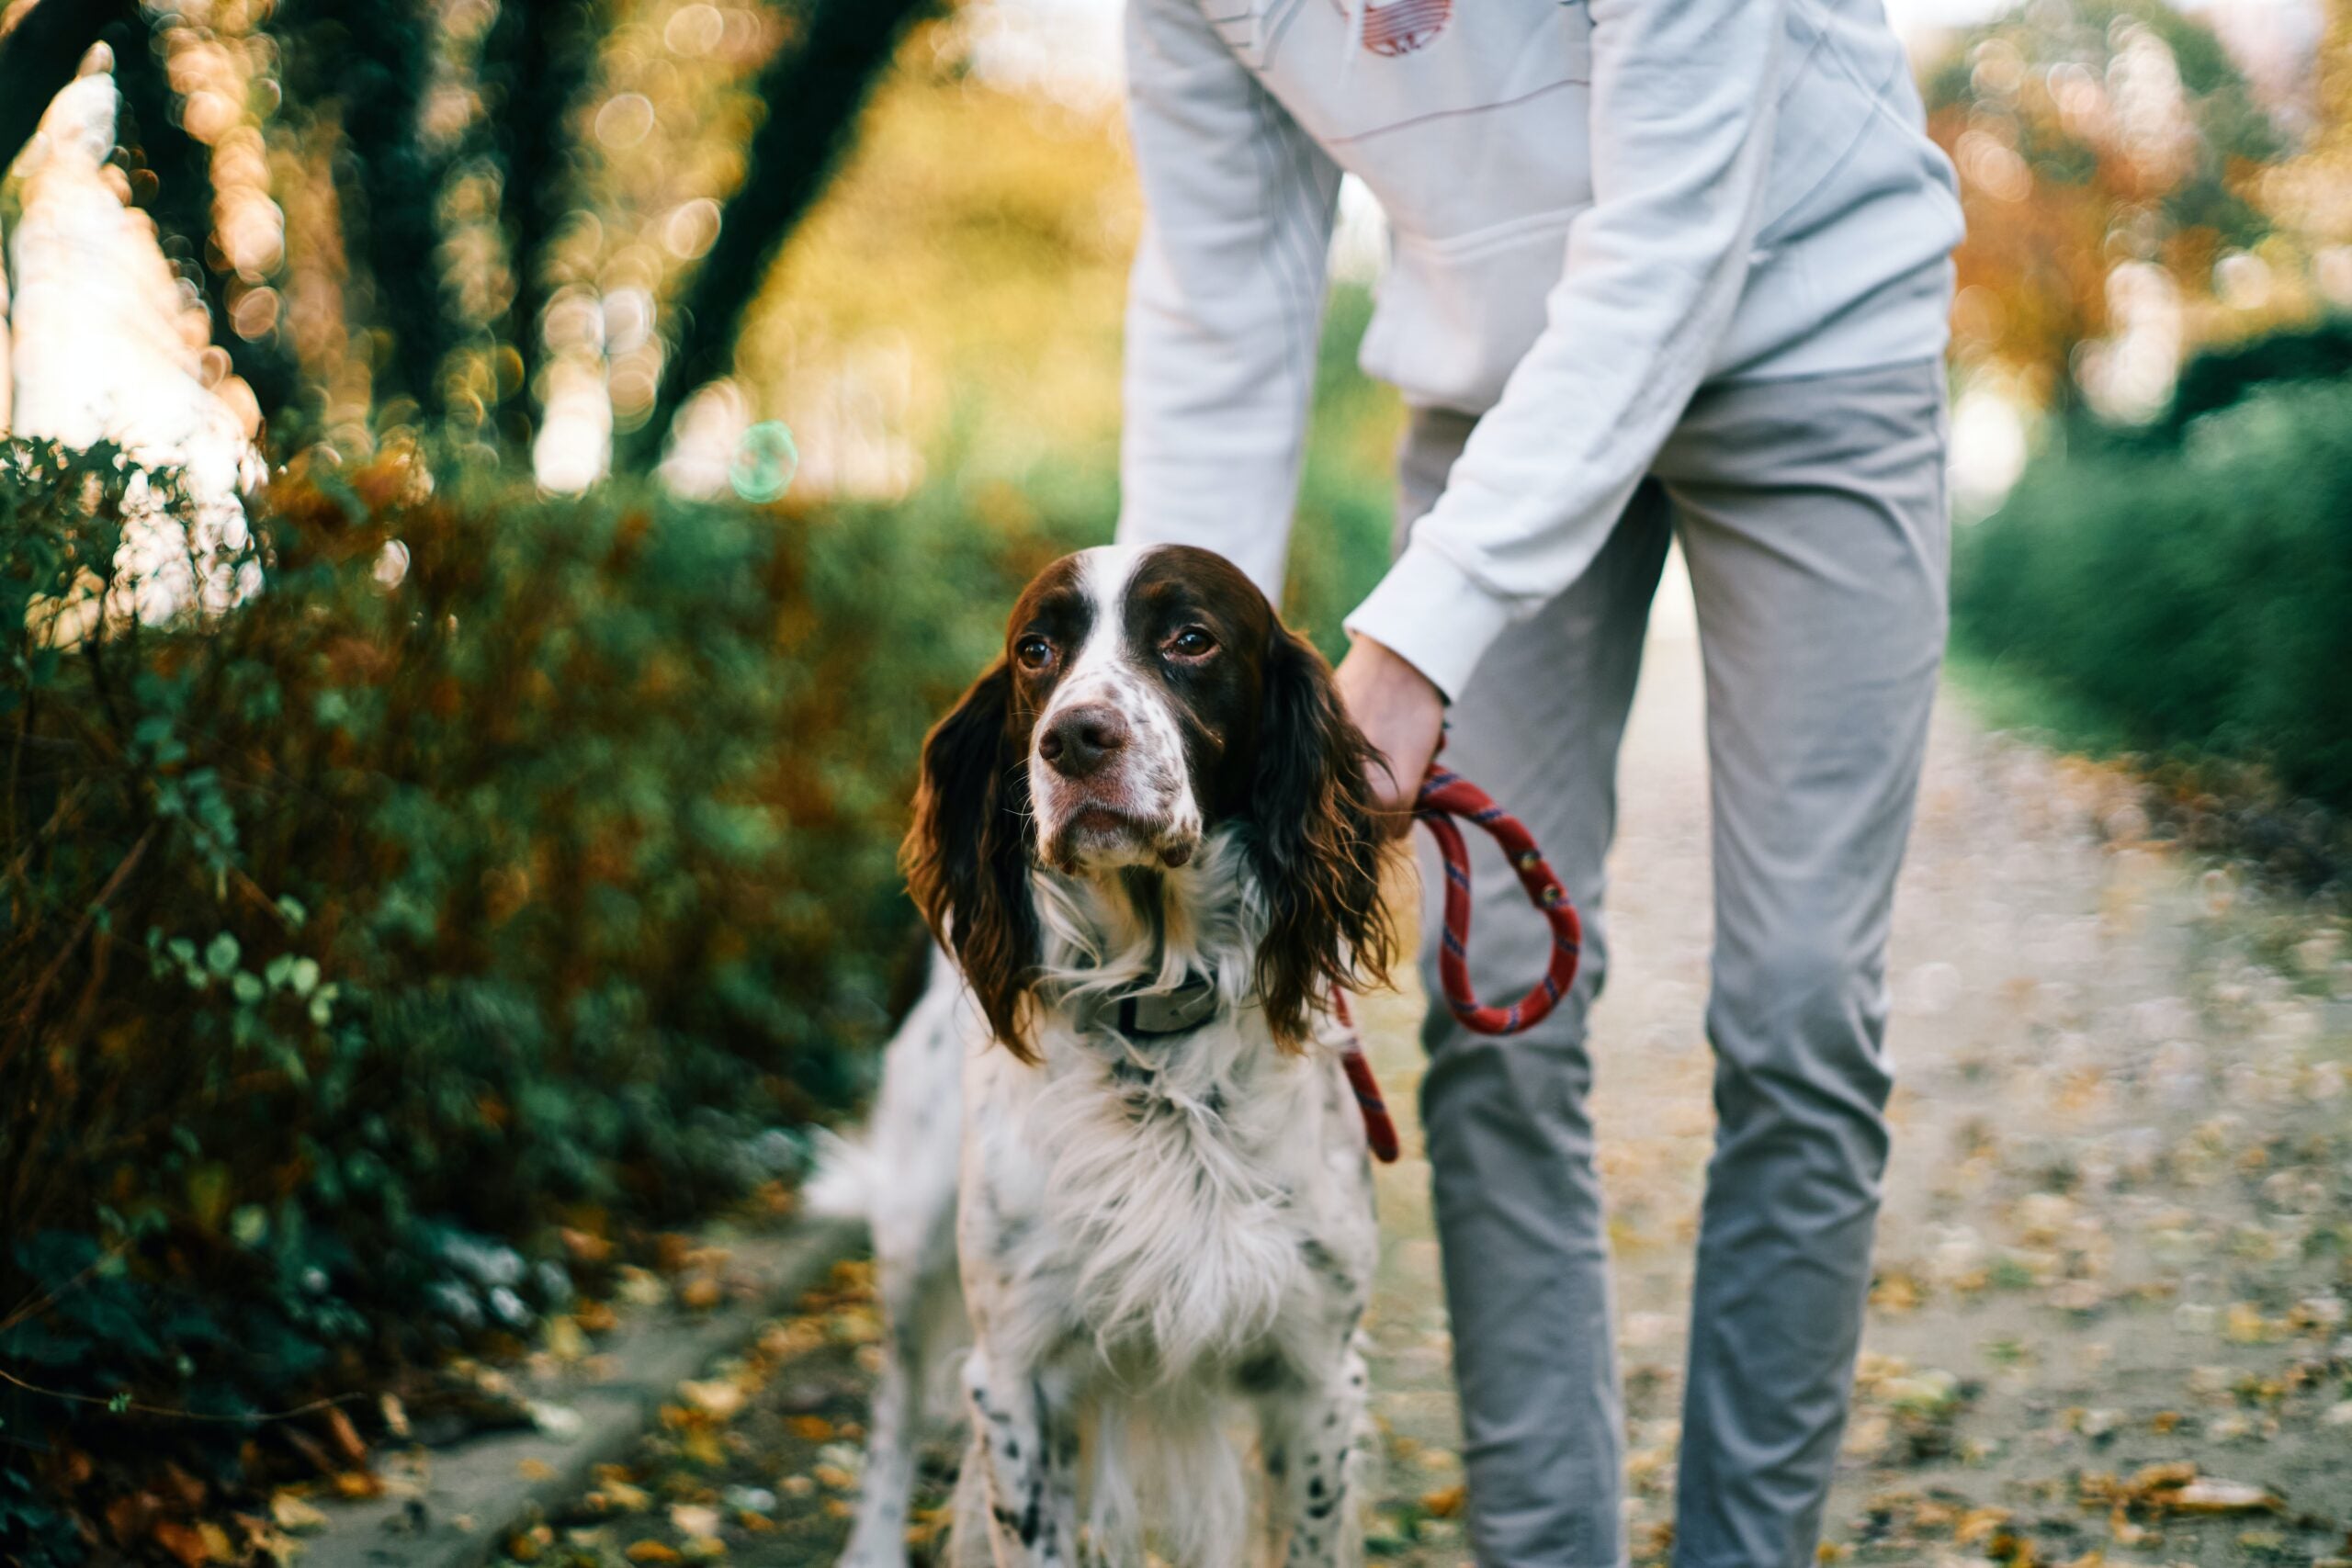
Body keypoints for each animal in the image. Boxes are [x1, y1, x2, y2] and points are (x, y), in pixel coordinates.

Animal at [808, 543, 1392, 1568]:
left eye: (1191, 638)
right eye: (1036, 651)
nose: (1074, 741)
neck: (1156, 1014)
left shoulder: (1318, 1373)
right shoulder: (1014, 1375)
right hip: (915, 1233)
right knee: (893, 1407)